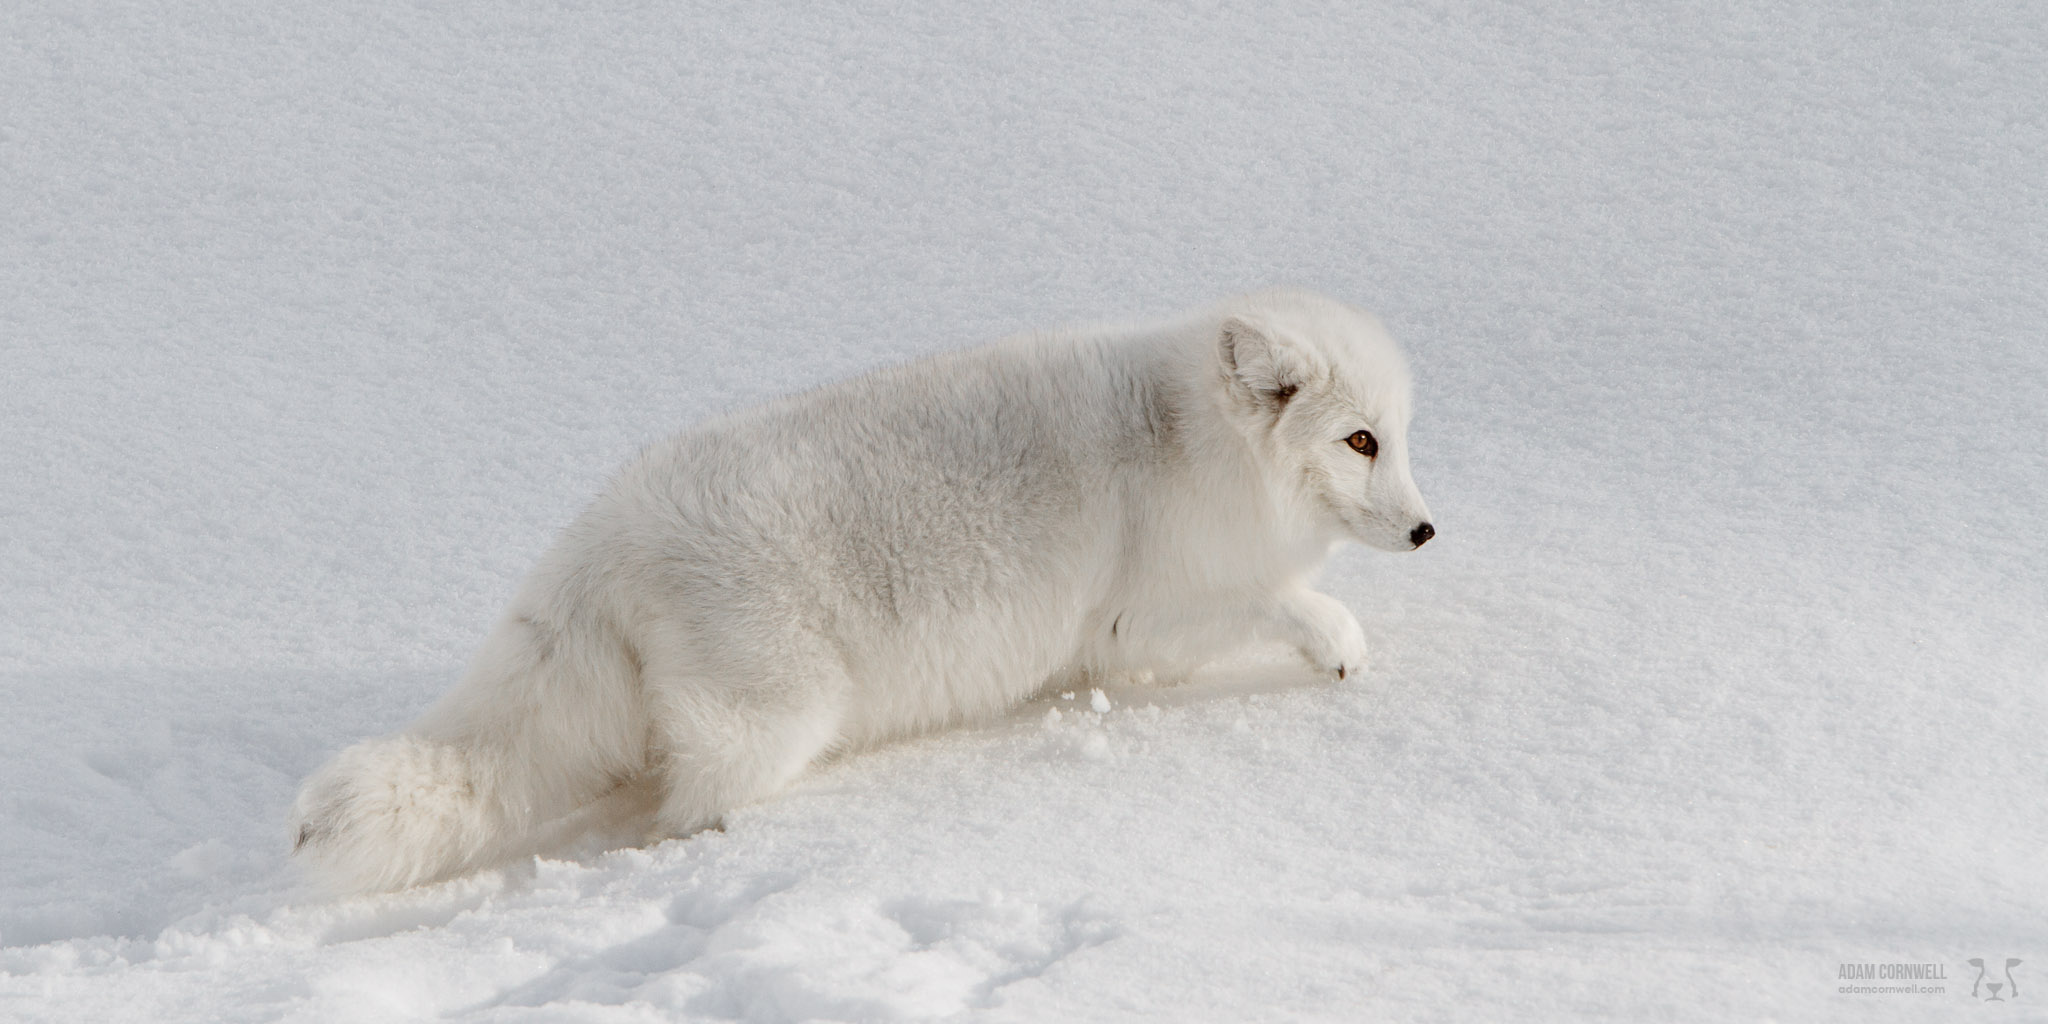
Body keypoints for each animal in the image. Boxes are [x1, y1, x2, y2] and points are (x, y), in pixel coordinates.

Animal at [292, 286, 1441, 888]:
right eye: (1359, 441)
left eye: (1398, 438)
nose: (1428, 529)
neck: (1183, 437)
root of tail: (604, 537)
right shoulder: (1138, 617)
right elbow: (1270, 600)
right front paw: (1335, 637)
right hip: (776, 718)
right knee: (682, 810)